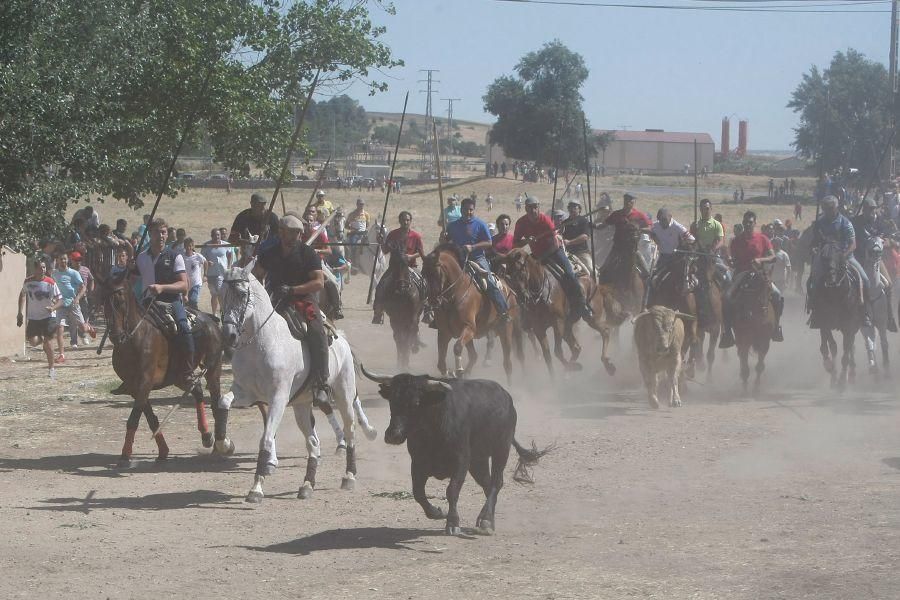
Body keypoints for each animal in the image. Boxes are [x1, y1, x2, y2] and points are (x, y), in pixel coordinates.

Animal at [100, 274, 234, 466]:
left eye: (121, 302)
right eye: (103, 301)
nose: (116, 336)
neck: (134, 338)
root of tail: (212, 321)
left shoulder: (144, 383)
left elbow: (134, 419)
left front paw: (125, 456)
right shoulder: (135, 388)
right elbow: (150, 419)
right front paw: (163, 451)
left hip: (212, 369)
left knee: (215, 404)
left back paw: (217, 446)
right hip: (178, 376)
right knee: (197, 390)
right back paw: (206, 435)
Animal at [221, 262, 376, 502]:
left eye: (241, 294)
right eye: (221, 294)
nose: (228, 334)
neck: (261, 342)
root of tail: (340, 339)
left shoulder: (278, 397)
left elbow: (266, 439)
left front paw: (256, 488)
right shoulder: (246, 393)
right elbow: (223, 401)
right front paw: (223, 443)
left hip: (343, 394)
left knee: (350, 429)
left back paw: (349, 475)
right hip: (302, 406)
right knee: (313, 443)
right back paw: (307, 485)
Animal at [358, 366, 548, 536]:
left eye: (416, 403)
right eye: (392, 400)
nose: (393, 435)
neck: (433, 427)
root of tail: (506, 397)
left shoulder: (461, 461)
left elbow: (452, 490)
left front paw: (453, 523)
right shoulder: (418, 463)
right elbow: (418, 492)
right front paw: (437, 513)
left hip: (501, 450)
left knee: (496, 482)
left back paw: (486, 520)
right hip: (478, 461)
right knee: (487, 484)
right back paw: (487, 520)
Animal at [420, 243, 520, 378]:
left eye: (437, 273)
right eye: (423, 273)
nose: (433, 301)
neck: (455, 294)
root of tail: (508, 289)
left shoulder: (469, 328)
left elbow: (457, 347)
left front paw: (459, 370)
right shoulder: (444, 332)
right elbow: (441, 362)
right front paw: (450, 373)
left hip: (506, 330)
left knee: (507, 364)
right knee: (474, 356)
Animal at [500, 248, 624, 376]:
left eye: (521, 273)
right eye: (507, 277)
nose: (523, 298)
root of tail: (592, 282)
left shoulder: (558, 323)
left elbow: (558, 351)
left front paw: (572, 367)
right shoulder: (539, 329)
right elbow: (548, 357)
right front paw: (558, 377)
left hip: (591, 317)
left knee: (605, 331)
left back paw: (607, 365)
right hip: (568, 325)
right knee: (576, 348)